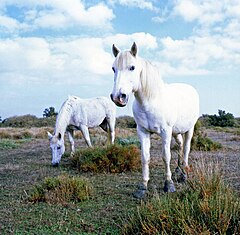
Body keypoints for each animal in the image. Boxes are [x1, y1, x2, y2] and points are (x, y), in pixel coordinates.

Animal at [110, 42, 199, 198]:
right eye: (113, 68)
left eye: (132, 67)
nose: (118, 97)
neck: (151, 101)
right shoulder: (143, 131)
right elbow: (145, 157)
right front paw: (143, 187)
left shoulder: (165, 132)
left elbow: (166, 156)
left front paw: (169, 184)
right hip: (176, 132)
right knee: (180, 146)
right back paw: (178, 170)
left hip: (189, 129)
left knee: (186, 149)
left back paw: (184, 175)